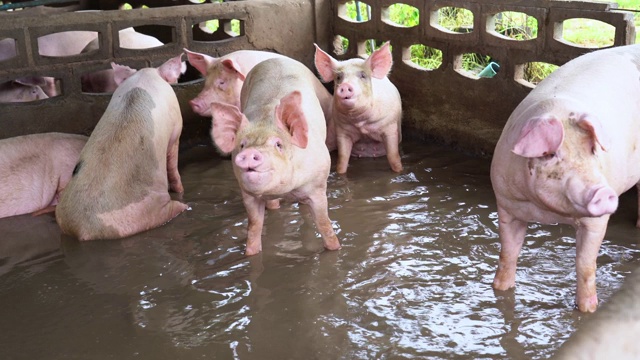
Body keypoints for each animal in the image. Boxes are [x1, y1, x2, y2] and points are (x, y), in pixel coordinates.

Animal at [55, 54, 188, 240]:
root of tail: (84, 230)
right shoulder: (176, 128)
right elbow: (172, 162)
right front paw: (180, 189)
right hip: (149, 209)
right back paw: (185, 205)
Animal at [210, 57, 340, 256]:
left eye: (278, 144)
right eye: (242, 145)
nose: (250, 153)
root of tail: (276, 58)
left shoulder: (318, 185)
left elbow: (324, 223)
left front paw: (335, 249)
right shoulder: (248, 194)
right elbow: (254, 226)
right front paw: (250, 255)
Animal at [314, 40, 402, 173]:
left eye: (363, 75)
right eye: (338, 77)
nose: (345, 86)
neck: (360, 122)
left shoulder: (390, 126)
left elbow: (393, 156)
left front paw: (399, 170)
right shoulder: (342, 131)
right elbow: (342, 159)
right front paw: (340, 172)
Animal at [488, 43, 640, 312]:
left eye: (592, 149)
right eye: (551, 154)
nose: (603, 192)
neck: (546, 212)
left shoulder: (597, 221)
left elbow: (585, 265)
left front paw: (588, 311)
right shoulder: (506, 204)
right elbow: (508, 252)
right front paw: (500, 290)